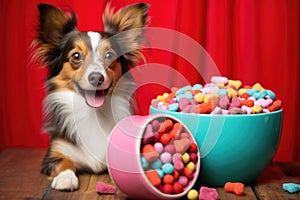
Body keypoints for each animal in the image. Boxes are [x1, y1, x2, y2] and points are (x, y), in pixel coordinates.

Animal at [31, 2, 149, 191]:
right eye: (76, 56)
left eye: (109, 55)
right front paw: (66, 178)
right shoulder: (52, 156)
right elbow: (64, 162)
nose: (96, 78)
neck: (93, 113)